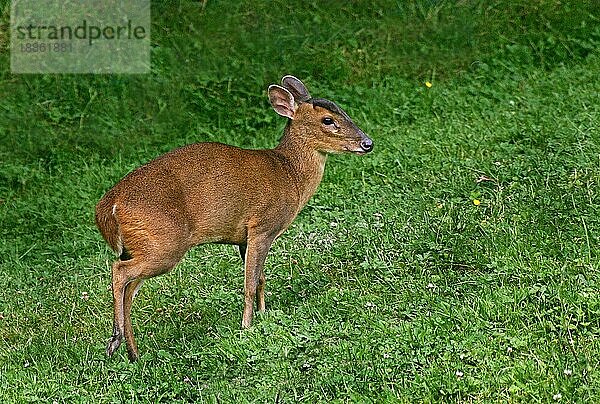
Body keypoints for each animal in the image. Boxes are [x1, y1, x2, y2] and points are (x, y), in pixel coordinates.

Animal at [94, 76, 372, 362]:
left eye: (343, 111)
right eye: (328, 120)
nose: (367, 143)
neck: (289, 175)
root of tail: (108, 206)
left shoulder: (243, 238)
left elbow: (260, 279)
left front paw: (263, 315)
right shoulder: (263, 226)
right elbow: (249, 283)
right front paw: (247, 326)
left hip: (142, 246)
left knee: (129, 290)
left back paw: (133, 353)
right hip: (164, 243)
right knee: (119, 272)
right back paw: (114, 341)